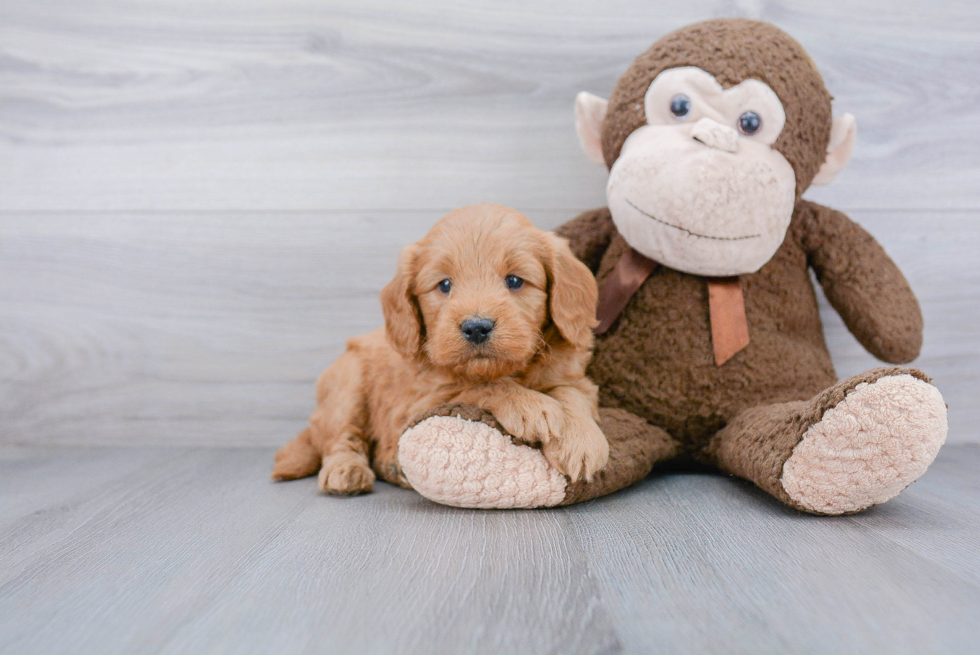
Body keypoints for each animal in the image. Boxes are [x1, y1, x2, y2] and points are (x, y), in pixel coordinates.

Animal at [272, 202, 608, 494]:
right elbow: (478, 386)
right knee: (341, 437)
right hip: (346, 384)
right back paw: (346, 471)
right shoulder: (422, 399)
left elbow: (571, 394)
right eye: (444, 285)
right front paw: (529, 405)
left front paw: (582, 442)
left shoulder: (575, 376)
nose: (476, 327)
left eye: (514, 280)